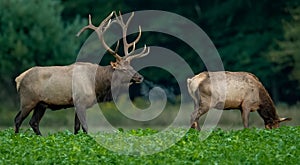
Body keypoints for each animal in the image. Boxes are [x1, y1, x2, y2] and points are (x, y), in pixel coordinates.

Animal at [14, 11, 150, 135]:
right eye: (123, 69)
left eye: (131, 66)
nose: (140, 77)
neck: (97, 85)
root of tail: (19, 79)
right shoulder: (81, 102)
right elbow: (84, 128)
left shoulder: (78, 105)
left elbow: (76, 128)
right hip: (28, 100)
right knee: (18, 120)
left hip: (41, 104)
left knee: (33, 122)